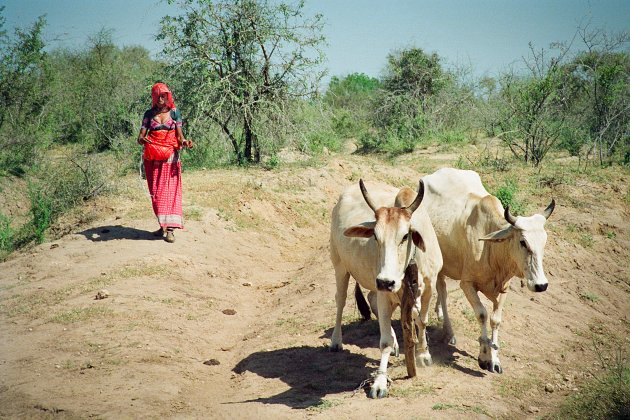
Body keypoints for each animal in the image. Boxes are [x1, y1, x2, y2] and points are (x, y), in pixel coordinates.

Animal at [330, 179, 444, 398]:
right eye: (375, 236)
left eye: (405, 236)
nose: (386, 281)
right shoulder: (384, 291)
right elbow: (384, 342)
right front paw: (380, 382)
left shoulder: (428, 289)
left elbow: (422, 321)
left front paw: (423, 354)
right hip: (340, 265)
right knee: (340, 300)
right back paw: (336, 341)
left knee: (371, 299)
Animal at [418, 168, 556, 374]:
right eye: (523, 242)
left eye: (544, 242)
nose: (541, 285)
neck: (491, 249)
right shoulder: (467, 284)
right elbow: (482, 313)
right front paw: (484, 355)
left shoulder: (504, 287)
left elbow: (496, 319)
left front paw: (495, 359)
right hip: (439, 264)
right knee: (442, 290)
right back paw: (449, 331)